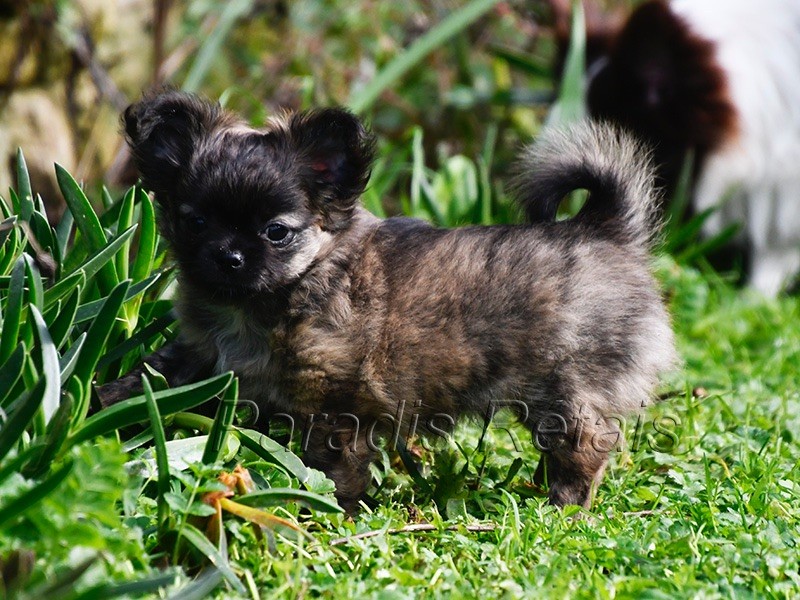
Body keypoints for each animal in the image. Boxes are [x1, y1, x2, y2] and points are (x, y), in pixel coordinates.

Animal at [101, 91, 676, 512]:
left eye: (276, 232)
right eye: (195, 222)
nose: (229, 256)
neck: (269, 301)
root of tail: (604, 228)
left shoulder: (337, 406)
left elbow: (331, 469)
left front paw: (328, 510)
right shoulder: (200, 356)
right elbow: (152, 375)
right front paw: (102, 402)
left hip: (567, 392)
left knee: (587, 445)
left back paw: (562, 505)